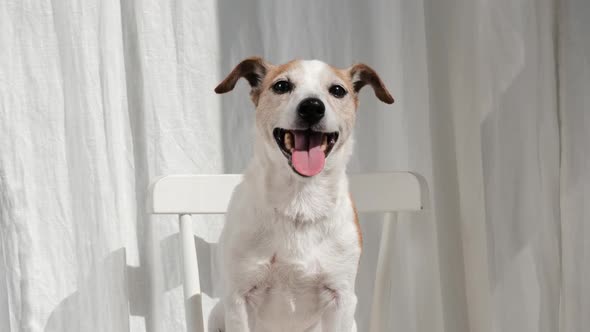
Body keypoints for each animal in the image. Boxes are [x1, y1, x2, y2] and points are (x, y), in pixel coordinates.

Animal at [210, 57, 396, 332]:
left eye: (337, 90)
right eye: (281, 86)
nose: (312, 107)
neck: (300, 201)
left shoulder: (341, 298)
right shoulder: (238, 297)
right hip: (217, 313)